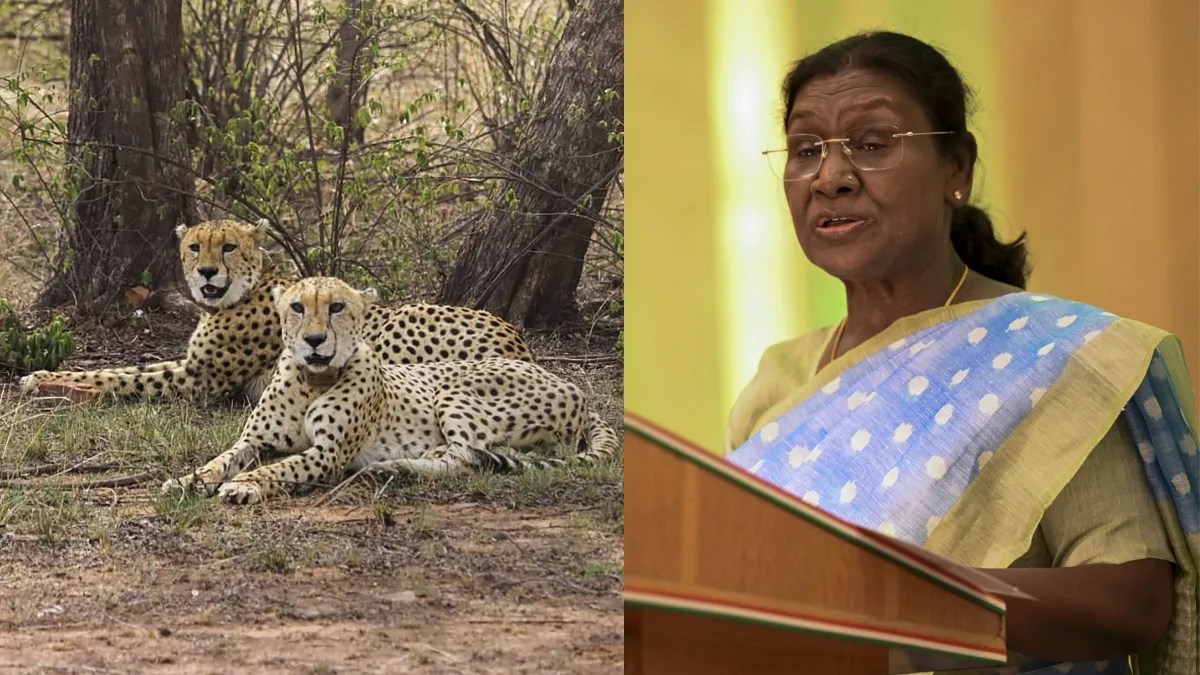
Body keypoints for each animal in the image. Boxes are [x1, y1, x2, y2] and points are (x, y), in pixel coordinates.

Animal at [20, 219, 534, 404]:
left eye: (228, 247)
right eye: (194, 247)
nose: (206, 272)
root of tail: (517, 339)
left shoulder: (201, 380)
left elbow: (121, 378)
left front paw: (48, 383)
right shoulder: (191, 365)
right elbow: (126, 367)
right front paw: (44, 375)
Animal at [160, 276, 620, 505]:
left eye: (337, 307)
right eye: (297, 307)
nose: (314, 341)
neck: (313, 379)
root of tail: (571, 385)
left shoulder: (328, 454)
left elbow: (279, 468)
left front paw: (245, 486)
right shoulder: (255, 440)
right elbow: (220, 460)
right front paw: (187, 480)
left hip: (454, 390)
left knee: (465, 457)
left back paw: (395, 466)